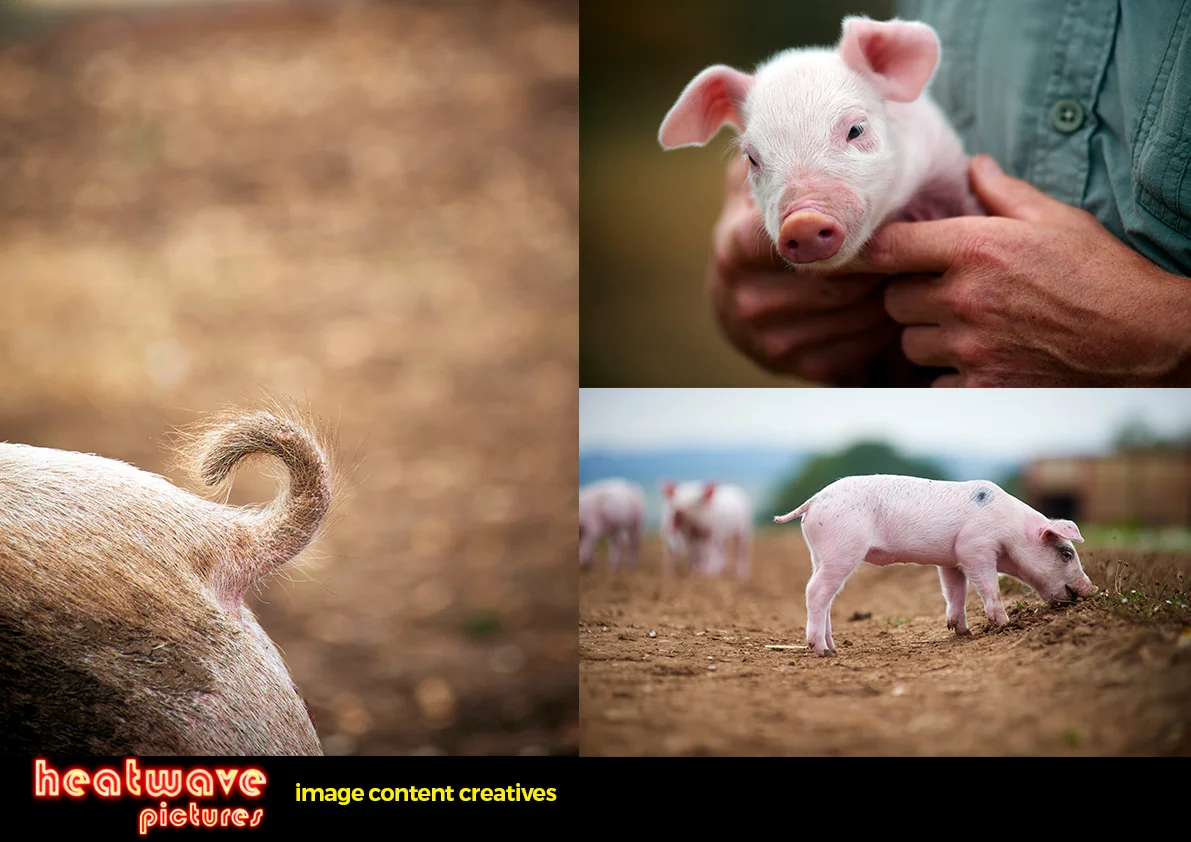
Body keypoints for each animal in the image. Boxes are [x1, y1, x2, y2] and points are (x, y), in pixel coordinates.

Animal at [773, 475, 1098, 657]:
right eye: (1067, 553)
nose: (1093, 590)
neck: (1012, 529)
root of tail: (814, 500)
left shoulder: (951, 560)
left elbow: (956, 591)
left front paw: (963, 632)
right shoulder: (975, 548)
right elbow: (988, 586)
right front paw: (1004, 624)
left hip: (820, 554)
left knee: (825, 597)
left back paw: (833, 648)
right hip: (841, 549)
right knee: (815, 592)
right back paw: (822, 652)